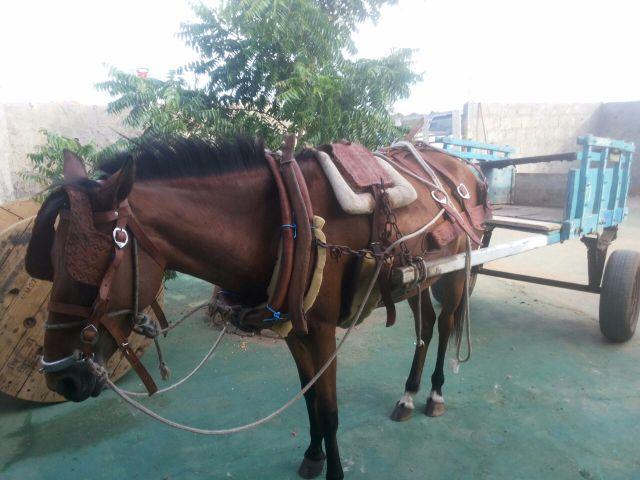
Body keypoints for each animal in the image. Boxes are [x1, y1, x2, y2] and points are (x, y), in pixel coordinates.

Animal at [25, 136, 488, 480]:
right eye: (50, 261)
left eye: (91, 264)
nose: (60, 377)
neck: (287, 222)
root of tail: (463, 167)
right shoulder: (295, 328)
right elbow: (309, 398)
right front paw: (312, 456)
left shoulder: (321, 330)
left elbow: (329, 410)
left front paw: (333, 470)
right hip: (417, 280)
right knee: (425, 326)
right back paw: (407, 395)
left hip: (454, 271)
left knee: (446, 325)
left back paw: (434, 393)